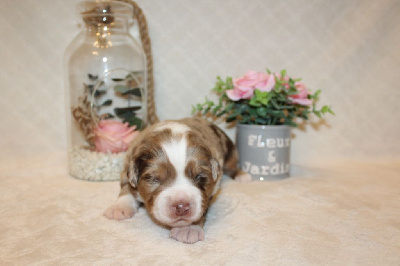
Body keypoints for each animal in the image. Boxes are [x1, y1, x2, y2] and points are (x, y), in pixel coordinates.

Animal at [104, 118, 250, 243]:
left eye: (199, 177)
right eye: (154, 178)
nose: (181, 207)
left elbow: (202, 208)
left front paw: (188, 229)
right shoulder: (128, 163)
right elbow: (126, 187)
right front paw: (119, 207)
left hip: (230, 149)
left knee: (232, 165)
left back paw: (242, 176)